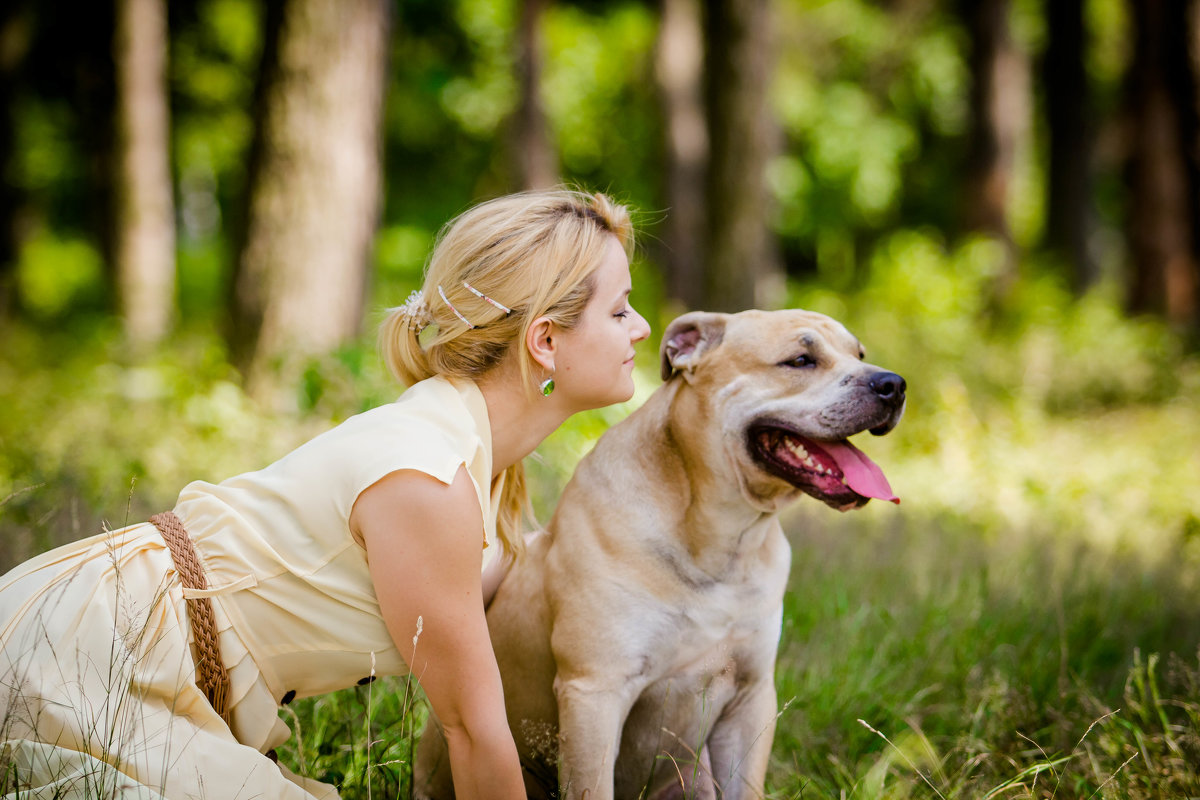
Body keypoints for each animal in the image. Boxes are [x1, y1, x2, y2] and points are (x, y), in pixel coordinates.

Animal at [410, 309, 902, 800]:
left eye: (859, 354)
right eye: (800, 360)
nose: (893, 384)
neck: (722, 536)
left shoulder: (751, 698)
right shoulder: (595, 692)